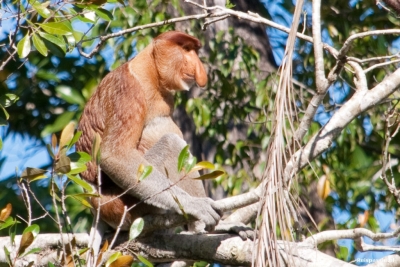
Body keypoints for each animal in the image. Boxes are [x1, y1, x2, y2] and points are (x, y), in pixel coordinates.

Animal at [75, 31, 222, 237]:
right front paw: (195, 205)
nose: (199, 68)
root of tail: (97, 204)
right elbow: (114, 155)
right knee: (171, 143)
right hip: (126, 203)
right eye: (186, 49)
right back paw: (198, 227)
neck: (150, 73)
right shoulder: (128, 91)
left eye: (194, 50)